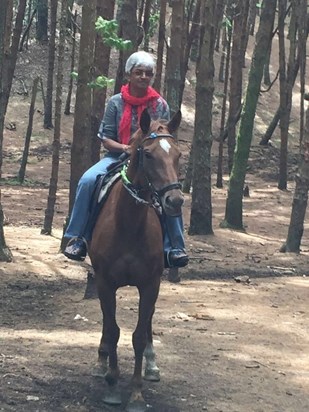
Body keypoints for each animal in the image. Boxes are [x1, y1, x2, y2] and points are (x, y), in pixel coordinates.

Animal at [88, 110, 183, 412]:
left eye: (178, 154)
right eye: (148, 154)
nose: (174, 200)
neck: (129, 224)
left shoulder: (150, 284)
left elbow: (139, 334)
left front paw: (137, 393)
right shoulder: (105, 283)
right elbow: (113, 330)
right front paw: (112, 386)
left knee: (148, 321)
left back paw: (152, 366)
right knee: (107, 323)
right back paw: (101, 360)